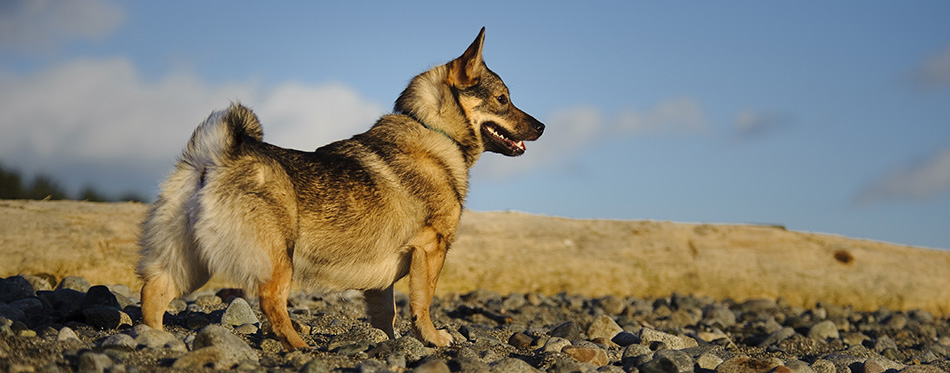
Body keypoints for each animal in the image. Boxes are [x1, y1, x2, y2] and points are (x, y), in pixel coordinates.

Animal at [138, 26, 548, 348]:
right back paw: (299, 346)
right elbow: (422, 304)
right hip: (277, 259)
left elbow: (386, 315)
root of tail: (216, 156)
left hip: (189, 262)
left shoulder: (383, 281)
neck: (433, 129)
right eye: (503, 99)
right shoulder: (431, 249)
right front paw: (432, 338)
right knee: (272, 304)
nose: (542, 127)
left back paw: (156, 338)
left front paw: (391, 343)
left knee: (153, 293)